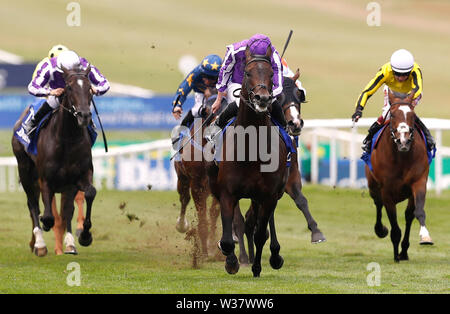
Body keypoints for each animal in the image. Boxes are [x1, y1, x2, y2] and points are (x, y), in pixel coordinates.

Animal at [12, 65, 96, 255]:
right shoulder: (45, 180)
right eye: (69, 87)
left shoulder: (77, 178)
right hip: (25, 170)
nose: (84, 116)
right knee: (33, 205)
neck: (67, 139)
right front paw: (44, 231)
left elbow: (86, 196)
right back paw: (39, 244)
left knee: (64, 210)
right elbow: (48, 216)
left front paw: (84, 236)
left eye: (89, 88)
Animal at [207, 45, 288, 276]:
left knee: (263, 223)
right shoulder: (227, 192)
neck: (251, 148)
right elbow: (227, 238)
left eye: (271, 74)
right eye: (247, 73)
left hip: (272, 193)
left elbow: (261, 233)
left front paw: (257, 266)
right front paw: (232, 262)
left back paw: (274, 255)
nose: (262, 98)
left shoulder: (269, 195)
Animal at [366, 89, 432, 262]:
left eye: (412, 115)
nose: (404, 140)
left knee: (409, 215)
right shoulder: (387, 191)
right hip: (373, 187)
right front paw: (395, 254)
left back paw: (404, 251)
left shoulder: (419, 182)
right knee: (378, 205)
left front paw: (425, 236)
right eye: (394, 114)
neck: (401, 156)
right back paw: (381, 231)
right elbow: (394, 226)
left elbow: (418, 212)